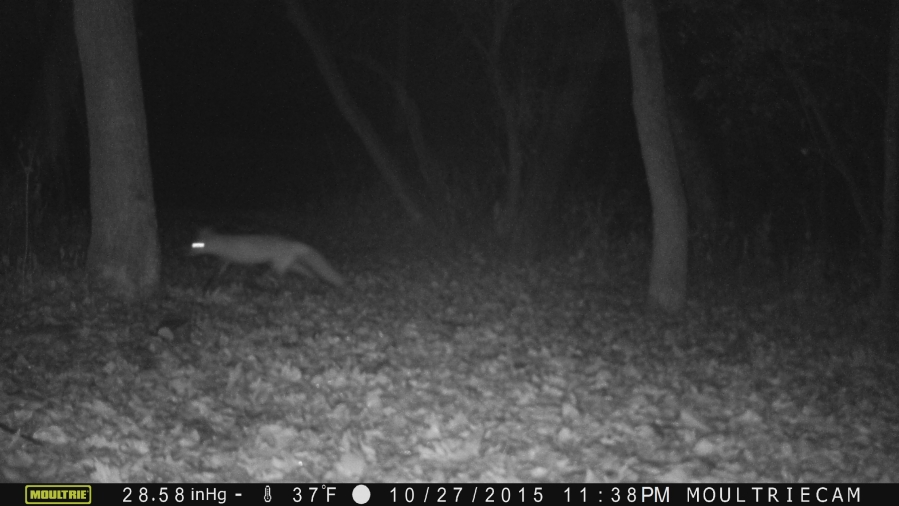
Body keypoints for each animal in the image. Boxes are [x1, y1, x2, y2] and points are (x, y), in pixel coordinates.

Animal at [190, 228, 345, 287]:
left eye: (194, 245)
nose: (186, 253)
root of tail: (295, 243)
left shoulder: (234, 257)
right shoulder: (226, 259)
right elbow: (221, 267)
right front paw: (218, 274)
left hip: (280, 263)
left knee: (278, 275)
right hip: (290, 264)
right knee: (307, 272)